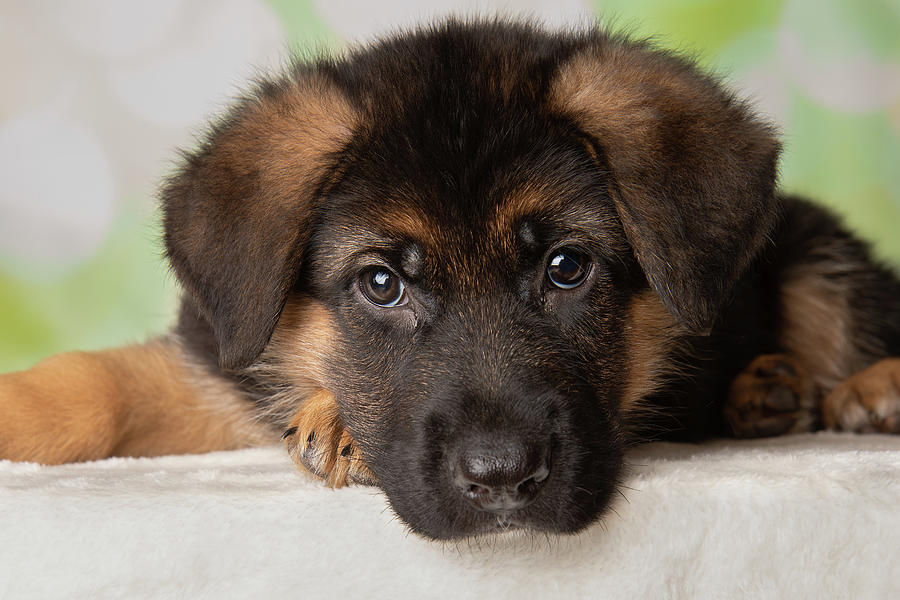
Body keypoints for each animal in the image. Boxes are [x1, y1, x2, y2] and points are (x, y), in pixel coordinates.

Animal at [1, 22, 900, 540]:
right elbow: (98, 383)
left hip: (816, 247)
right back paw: (766, 393)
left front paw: (339, 423)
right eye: (381, 284)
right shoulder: (222, 370)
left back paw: (865, 389)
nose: (502, 483)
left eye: (566, 268)